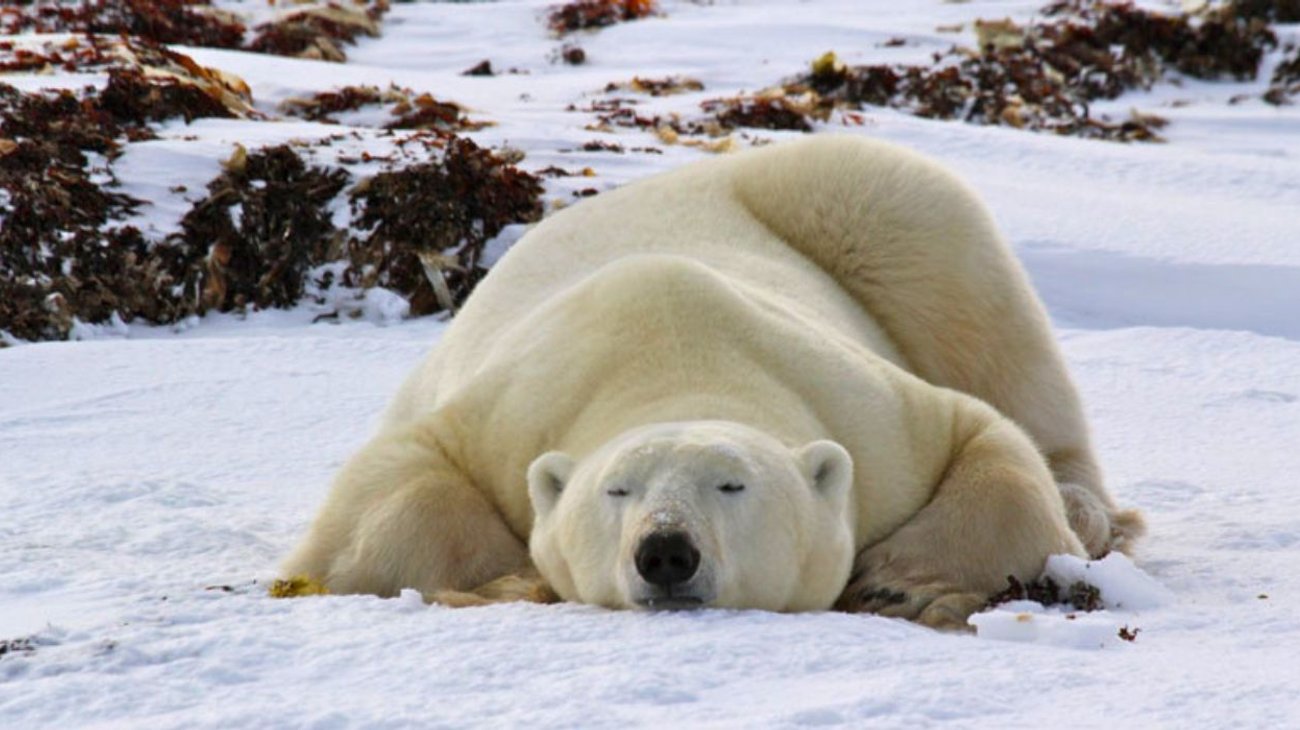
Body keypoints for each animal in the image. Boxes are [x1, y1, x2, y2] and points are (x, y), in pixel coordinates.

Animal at [280, 134, 1144, 629]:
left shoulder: (870, 414)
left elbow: (988, 441)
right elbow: (394, 487)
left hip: (866, 208)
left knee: (980, 317)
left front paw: (899, 586)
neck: (675, 354)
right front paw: (505, 579)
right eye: (616, 490)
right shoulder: (511, 406)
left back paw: (1085, 507)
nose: (666, 551)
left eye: (734, 486)